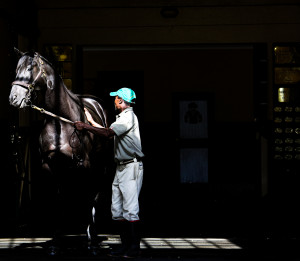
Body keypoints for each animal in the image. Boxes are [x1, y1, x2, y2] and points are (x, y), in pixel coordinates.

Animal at [8, 48, 110, 252]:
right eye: (16, 69)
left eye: (30, 68)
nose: (13, 98)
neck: (62, 122)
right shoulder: (51, 167)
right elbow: (58, 201)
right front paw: (55, 240)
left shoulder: (84, 165)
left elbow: (88, 197)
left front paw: (91, 240)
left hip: (98, 166)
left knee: (94, 194)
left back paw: (92, 233)